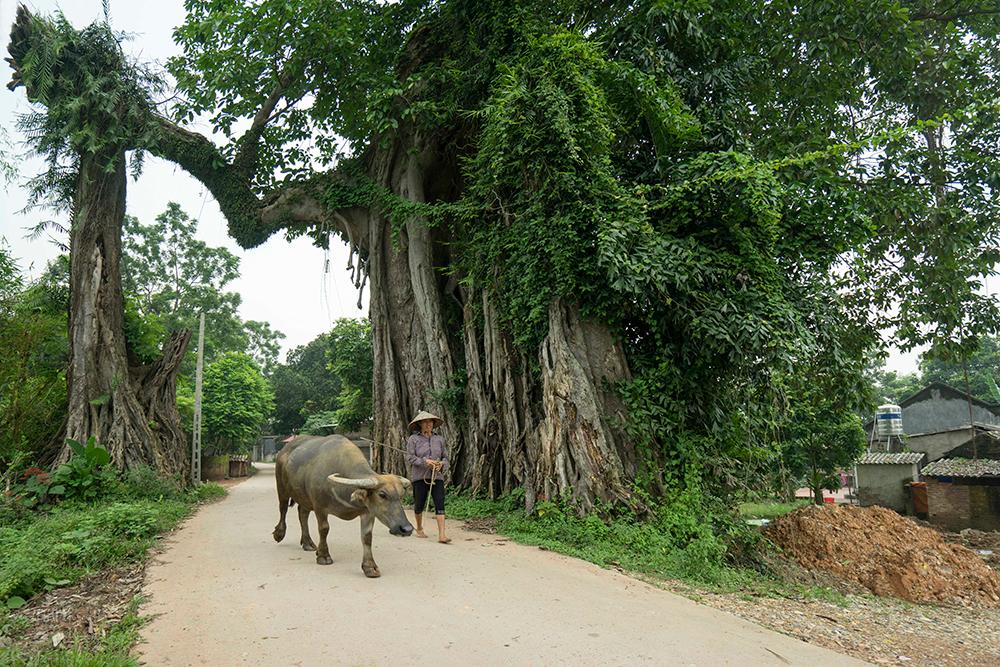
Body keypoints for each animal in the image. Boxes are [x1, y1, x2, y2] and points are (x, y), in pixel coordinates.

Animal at [272, 436, 412, 576]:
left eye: (401, 495)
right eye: (382, 494)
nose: (407, 529)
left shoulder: (368, 511)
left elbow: (367, 537)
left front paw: (370, 567)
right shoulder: (319, 507)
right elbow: (324, 529)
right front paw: (323, 556)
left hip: (304, 496)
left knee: (302, 513)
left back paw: (308, 543)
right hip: (282, 488)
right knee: (283, 508)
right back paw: (279, 534)